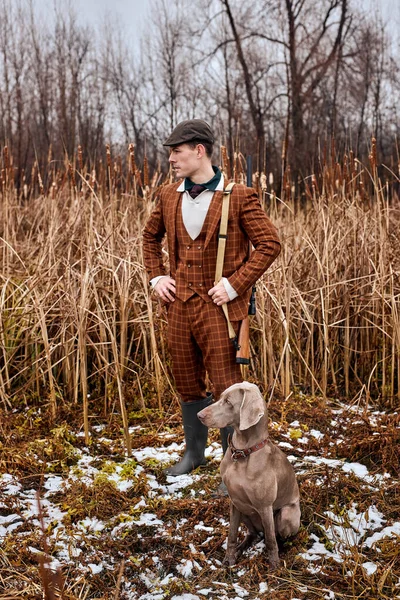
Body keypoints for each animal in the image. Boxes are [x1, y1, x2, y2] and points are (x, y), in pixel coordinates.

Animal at [198, 382, 300, 568]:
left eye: (228, 402)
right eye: (220, 397)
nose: (199, 415)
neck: (242, 453)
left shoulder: (265, 507)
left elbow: (271, 540)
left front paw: (274, 566)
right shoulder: (234, 501)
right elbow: (231, 534)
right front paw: (229, 559)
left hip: (286, 514)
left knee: (276, 536)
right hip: (245, 510)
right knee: (253, 534)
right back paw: (242, 547)